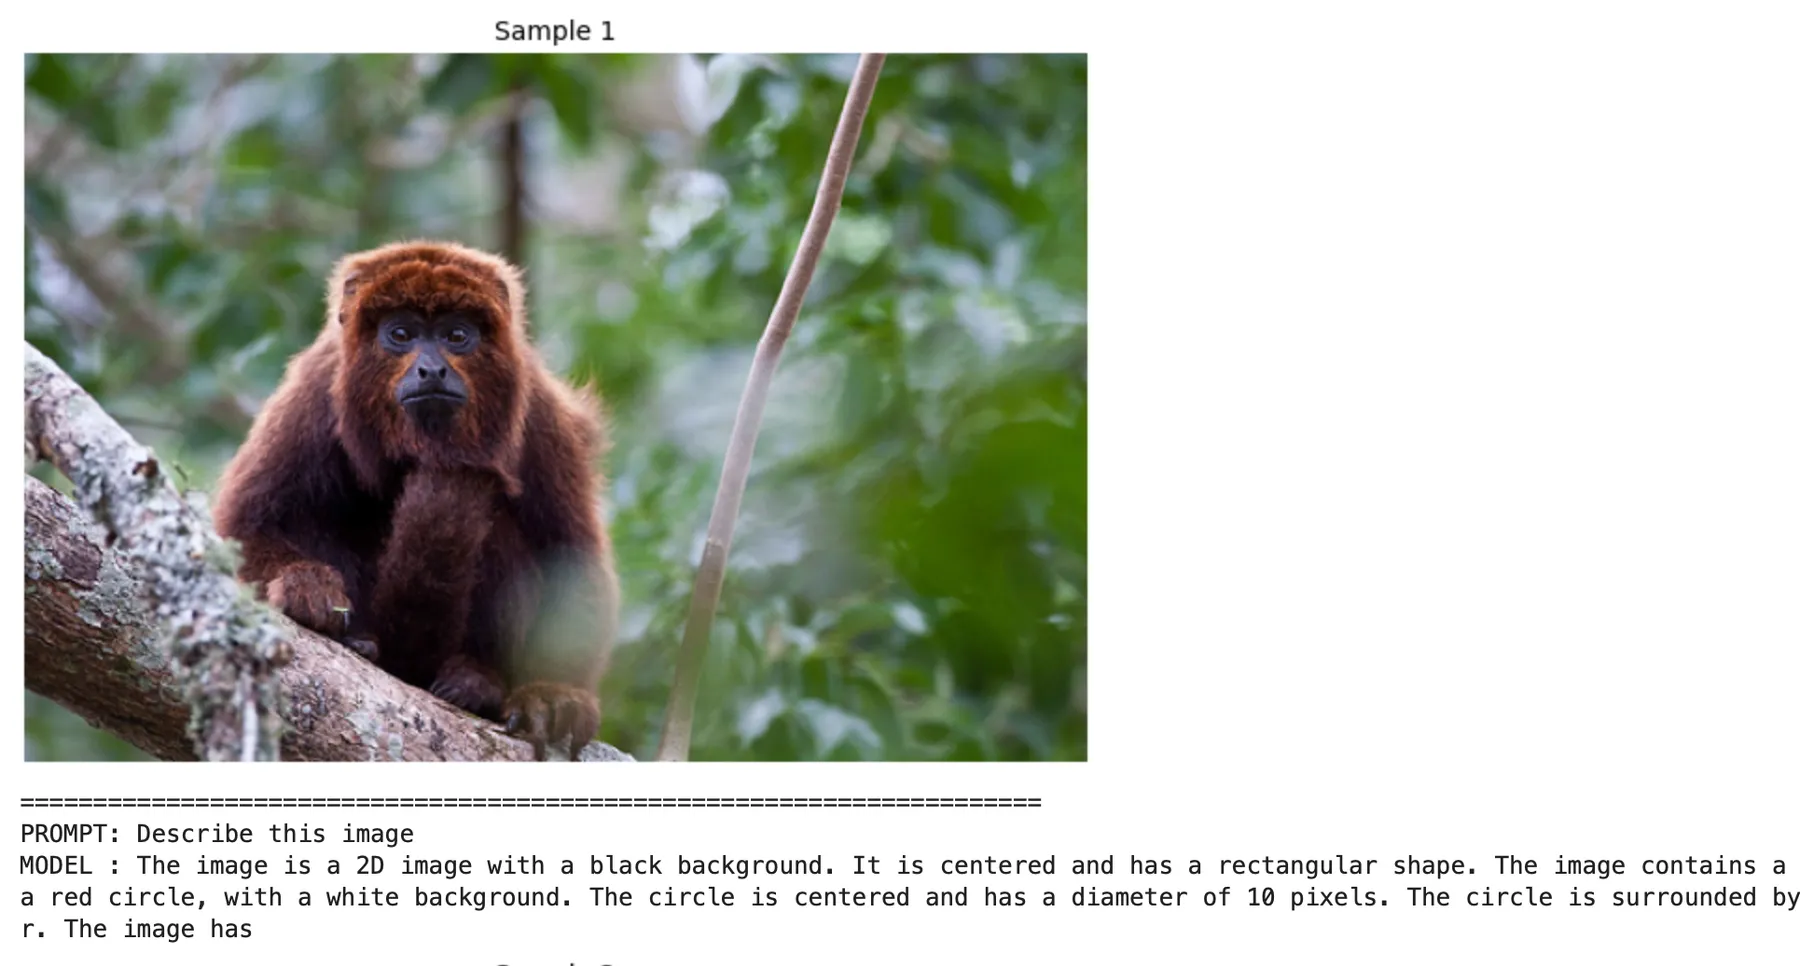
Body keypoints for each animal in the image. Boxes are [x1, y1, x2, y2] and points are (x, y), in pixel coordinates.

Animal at [212, 240, 618, 758]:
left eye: (457, 335)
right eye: (401, 334)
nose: (431, 369)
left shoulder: (541, 415)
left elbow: (571, 556)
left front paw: (553, 694)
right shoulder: (315, 393)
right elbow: (247, 525)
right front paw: (306, 584)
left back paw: (477, 682)